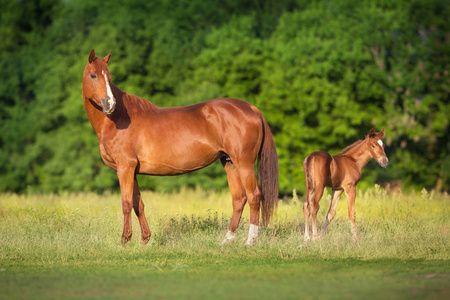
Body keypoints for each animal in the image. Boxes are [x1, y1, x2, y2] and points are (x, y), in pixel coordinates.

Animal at [81, 49, 278, 246]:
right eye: (93, 75)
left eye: (109, 77)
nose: (110, 104)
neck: (118, 119)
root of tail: (252, 108)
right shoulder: (132, 170)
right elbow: (138, 204)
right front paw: (145, 239)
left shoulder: (125, 168)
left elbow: (127, 203)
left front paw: (125, 240)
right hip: (230, 163)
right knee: (239, 198)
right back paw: (227, 240)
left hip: (244, 163)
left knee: (254, 196)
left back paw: (250, 241)